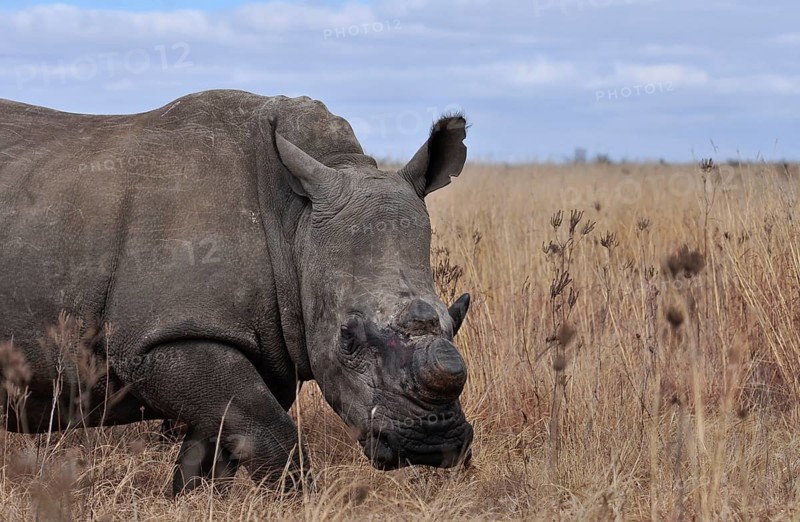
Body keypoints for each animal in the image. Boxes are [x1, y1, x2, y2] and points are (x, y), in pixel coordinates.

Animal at [0, 90, 472, 495]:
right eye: (348, 338)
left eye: (454, 319)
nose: (436, 442)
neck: (295, 222)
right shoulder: (160, 341)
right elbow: (272, 436)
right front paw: (300, 502)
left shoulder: (269, 346)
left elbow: (218, 448)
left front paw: (190, 502)